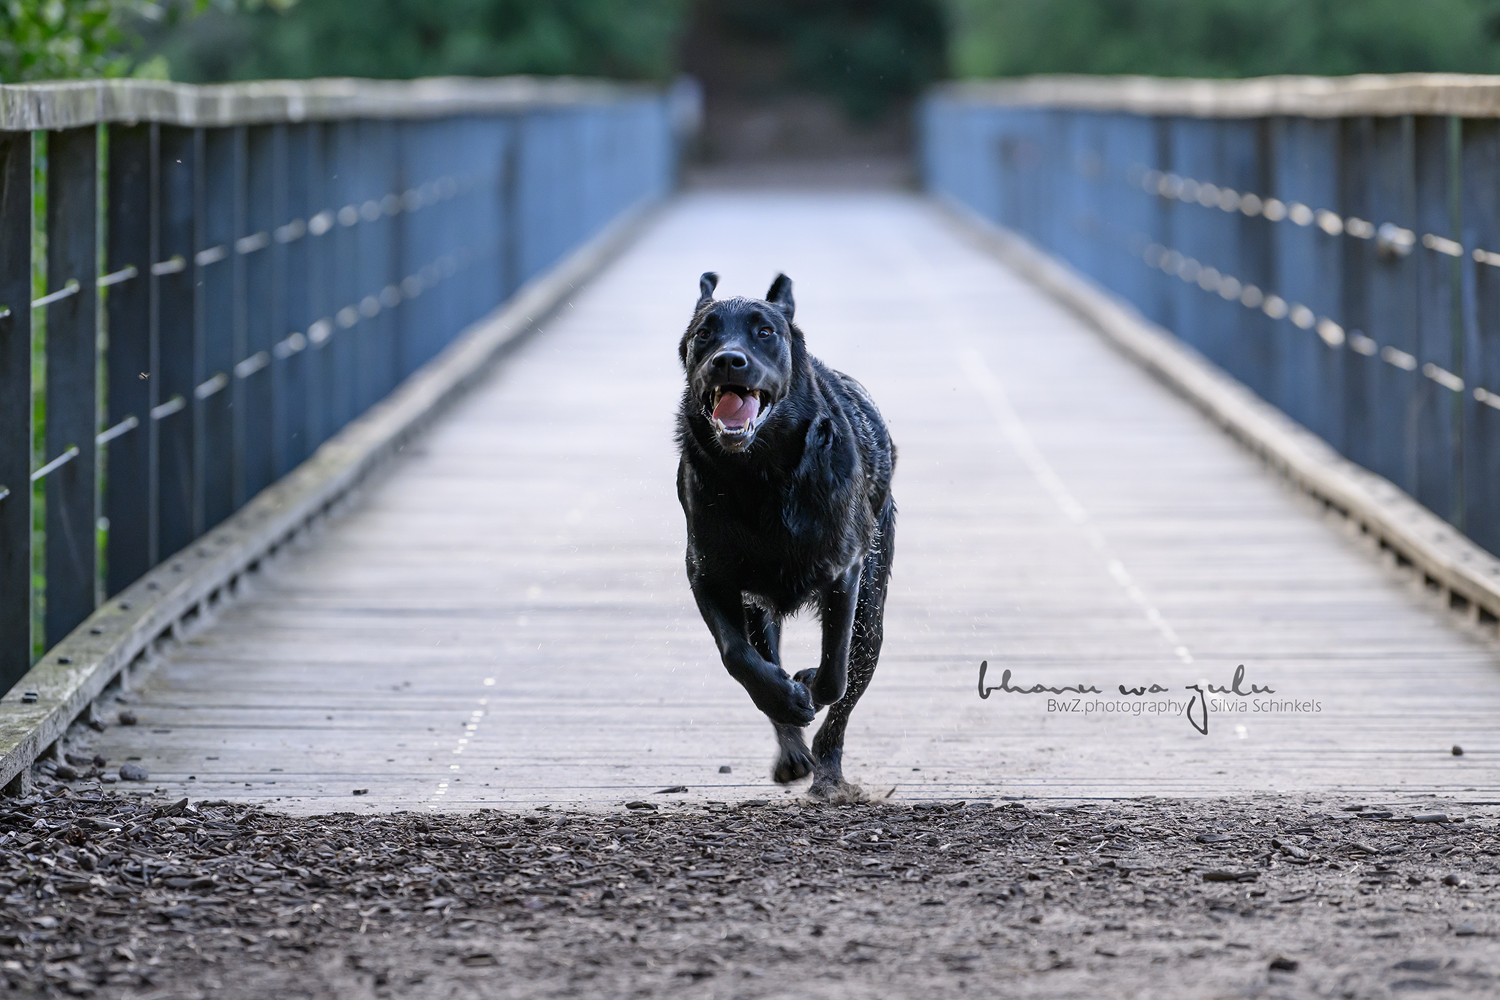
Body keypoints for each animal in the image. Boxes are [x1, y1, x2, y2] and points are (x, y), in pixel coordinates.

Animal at [678, 271, 894, 797]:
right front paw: (787, 698)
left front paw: (810, 682)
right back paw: (794, 751)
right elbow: (738, 656)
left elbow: (835, 671)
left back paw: (829, 773)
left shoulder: (844, 568)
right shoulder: (707, 574)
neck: (760, 476)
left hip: (874, 610)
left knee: (848, 685)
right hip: (758, 608)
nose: (728, 360)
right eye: (704, 334)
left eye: (765, 332)